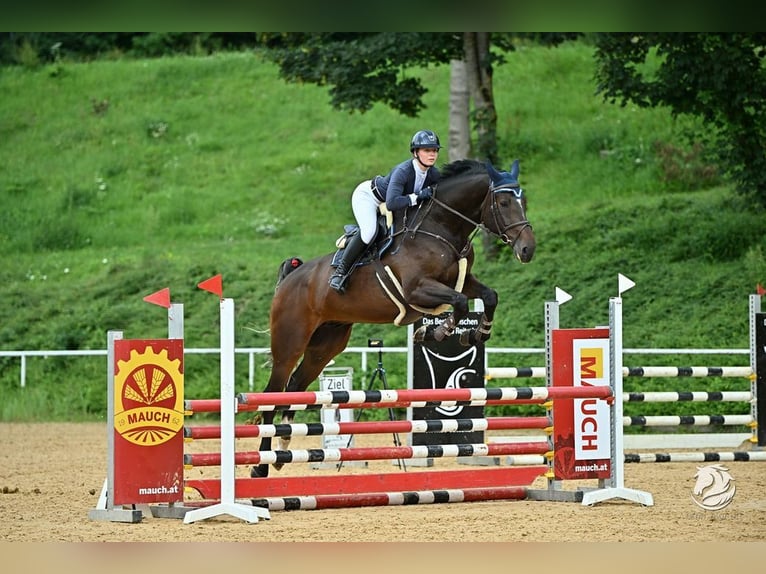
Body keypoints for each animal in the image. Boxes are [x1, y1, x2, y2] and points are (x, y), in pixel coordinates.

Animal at [252, 159, 536, 482]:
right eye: (503, 202)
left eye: (524, 201)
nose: (527, 249)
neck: (440, 228)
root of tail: (291, 279)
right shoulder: (417, 289)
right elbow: (459, 303)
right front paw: (440, 332)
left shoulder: (462, 281)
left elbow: (488, 296)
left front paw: (477, 333)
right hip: (290, 342)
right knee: (272, 393)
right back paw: (261, 465)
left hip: (325, 345)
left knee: (295, 386)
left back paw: (283, 448)